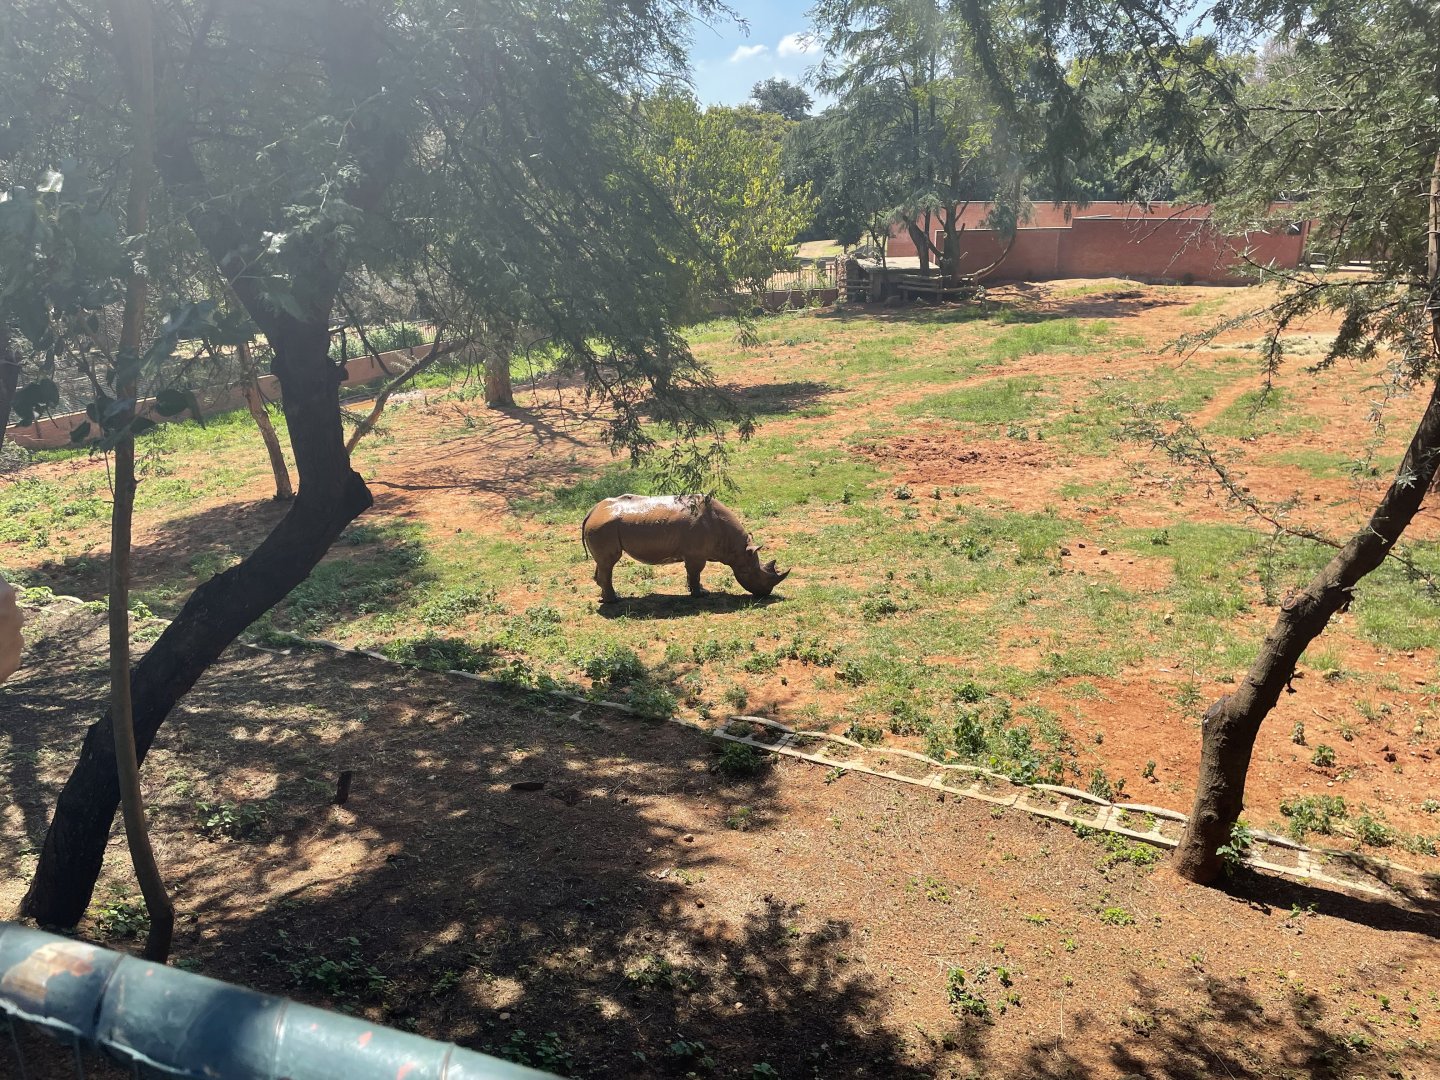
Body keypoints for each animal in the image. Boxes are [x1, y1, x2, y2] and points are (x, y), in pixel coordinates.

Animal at [582, 494, 789, 604]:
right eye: (750, 573)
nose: (765, 594)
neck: (736, 547)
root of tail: (591, 512)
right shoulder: (696, 555)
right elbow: (696, 573)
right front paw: (699, 595)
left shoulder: (693, 554)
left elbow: (692, 574)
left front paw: (697, 591)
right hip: (603, 527)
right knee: (609, 563)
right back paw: (614, 600)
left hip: (602, 525)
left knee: (603, 563)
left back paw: (606, 598)